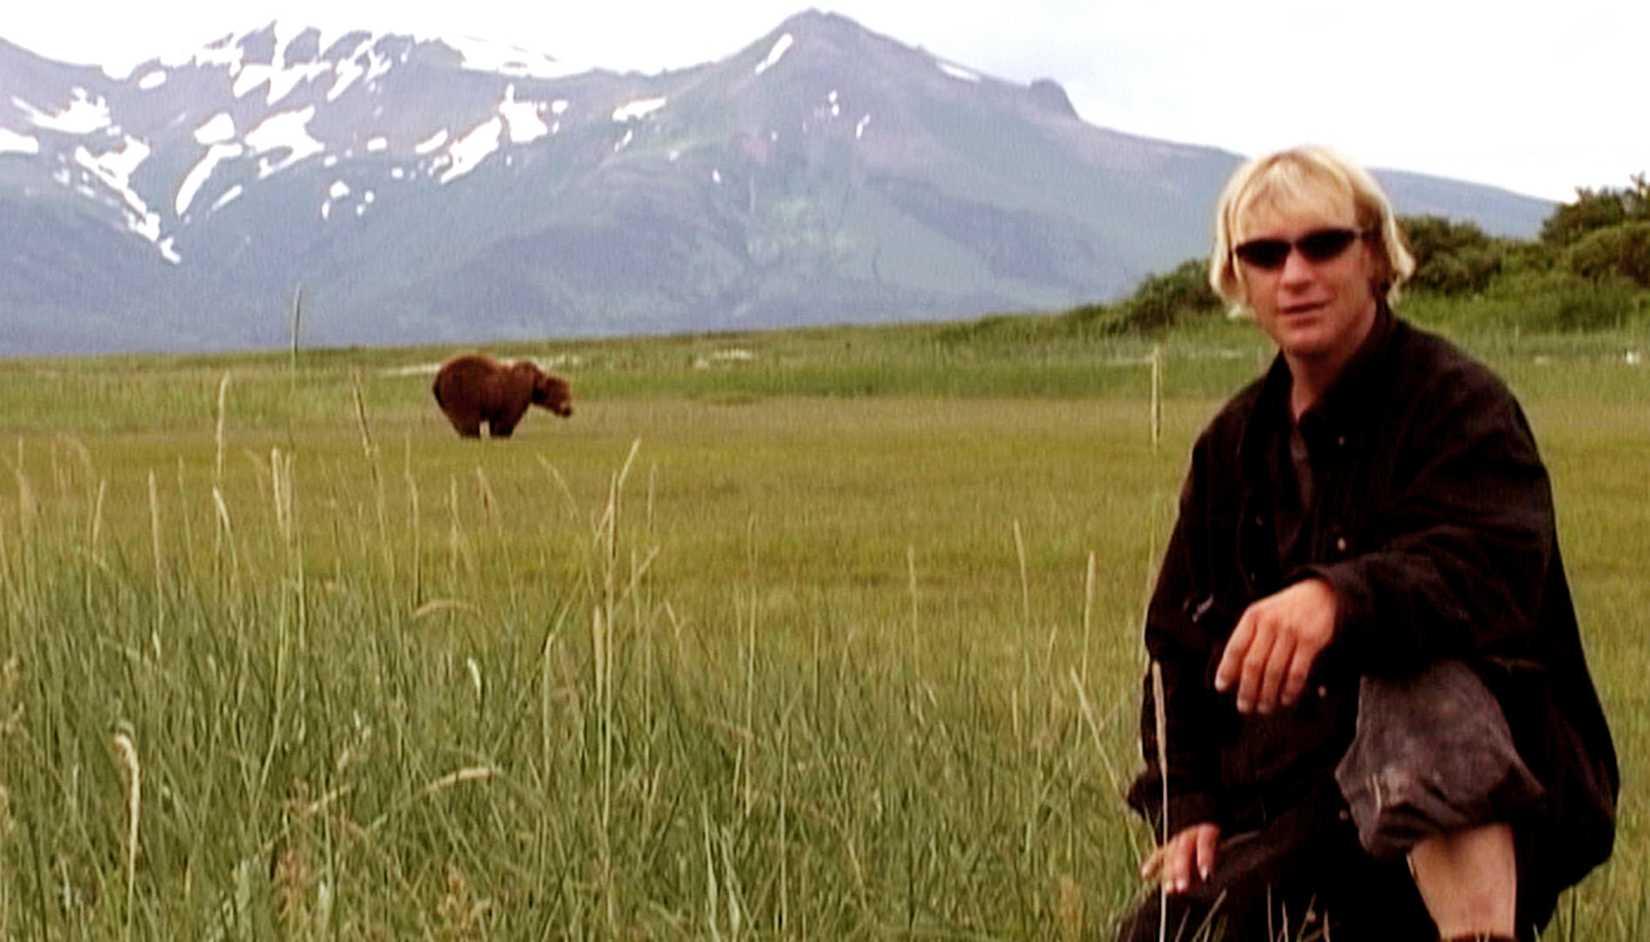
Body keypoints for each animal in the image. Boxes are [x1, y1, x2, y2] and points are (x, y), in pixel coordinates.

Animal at [431, 354, 573, 438]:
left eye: (569, 393)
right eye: (560, 394)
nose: (568, 410)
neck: (534, 383)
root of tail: (439, 376)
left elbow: (495, 424)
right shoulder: (513, 397)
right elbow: (506, 422)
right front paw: (502, 434)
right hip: (462, 393)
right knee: (468, 423)